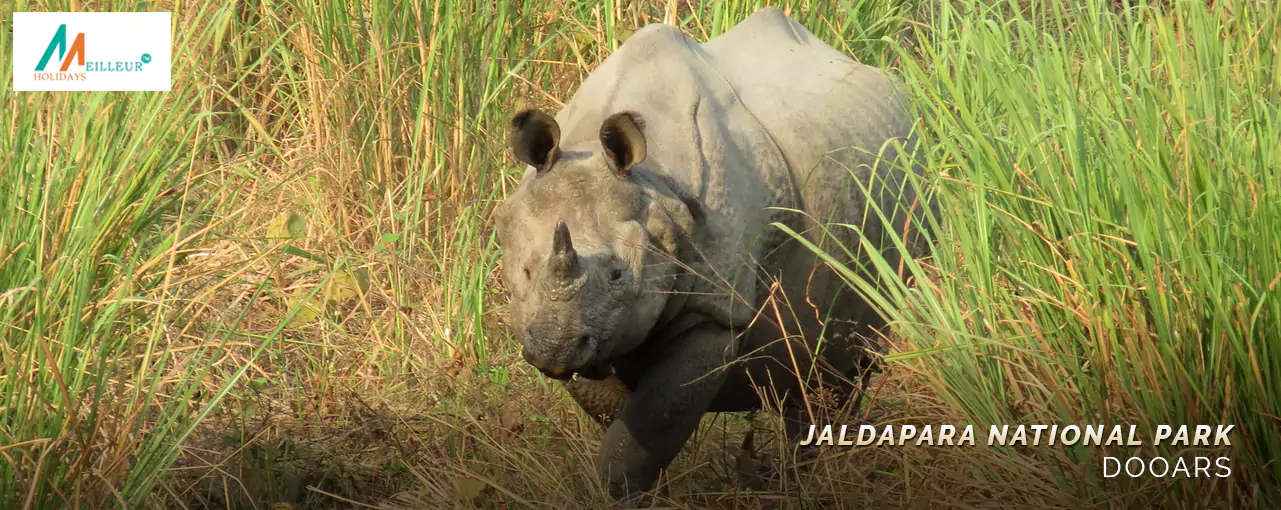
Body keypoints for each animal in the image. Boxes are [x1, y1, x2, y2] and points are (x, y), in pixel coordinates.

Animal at [489, 6, 932, 502]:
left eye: (620, 275)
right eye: (526, 271)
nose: (555, 346)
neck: (649, 180)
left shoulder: (713, 310)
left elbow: (648, 426)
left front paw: (625, 495)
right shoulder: (600, 333)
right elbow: (620, 421)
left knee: (848, 364)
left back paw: (808, 479)